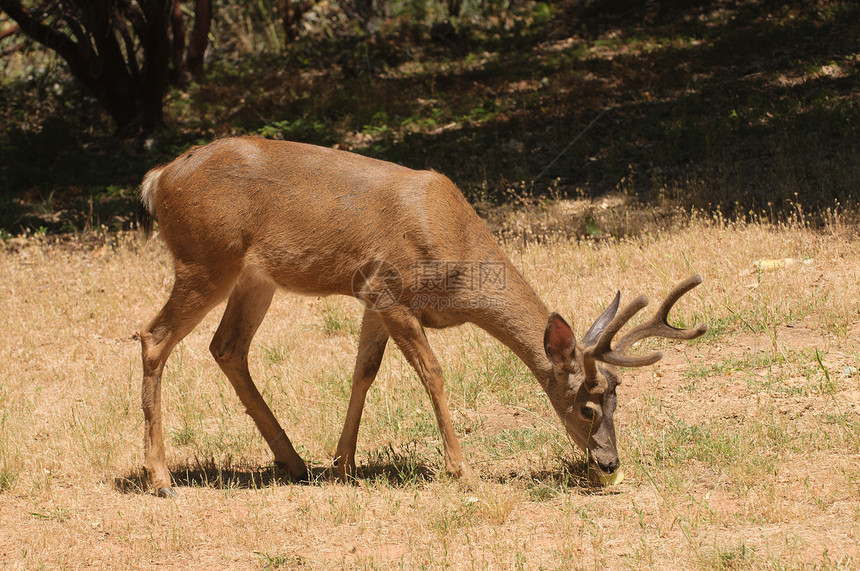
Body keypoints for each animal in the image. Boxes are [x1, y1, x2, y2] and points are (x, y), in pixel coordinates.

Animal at [139, 136, 704, 498]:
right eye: (586, 407)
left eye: (616, 398)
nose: (610, 462)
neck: (460, 267)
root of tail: (158, 178)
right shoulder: (386, 287)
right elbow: (431, 372)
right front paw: (461, 470)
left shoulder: (371, 298)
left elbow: (363, 372)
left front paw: (343, 465)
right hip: (206, 257)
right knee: (153, 336)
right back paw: (160, 479)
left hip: (254, 277)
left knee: (227, 346)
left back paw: (294, 462)